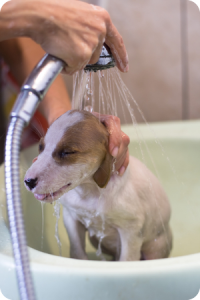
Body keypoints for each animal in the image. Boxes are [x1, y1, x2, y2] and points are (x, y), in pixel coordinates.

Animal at [24, 109, 172, 260]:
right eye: (40, 147)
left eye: (66, 152)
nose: (28, 181)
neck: (90, 191)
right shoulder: (71, 218)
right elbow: (78, 253)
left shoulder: (131, 231)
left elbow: (126, 259)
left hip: (156, 246)